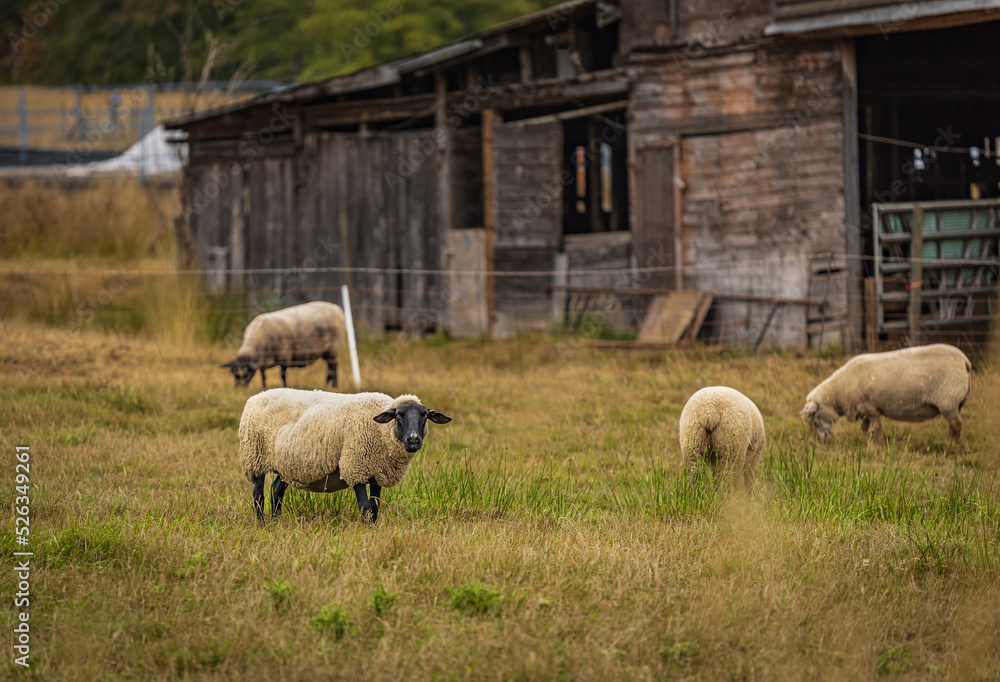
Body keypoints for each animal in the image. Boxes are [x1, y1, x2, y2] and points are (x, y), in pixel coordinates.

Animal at [239, 389, 451, 524]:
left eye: (425, 415)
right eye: (399, 415)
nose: (413, 440)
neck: (381, 431)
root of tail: (256, 396)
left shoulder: (376, 472)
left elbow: (374, 507)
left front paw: (373, 529)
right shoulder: (355, 467)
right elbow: (365, 507)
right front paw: (367, 531)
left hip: (287, 466)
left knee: (276, 491)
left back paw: (276, 522)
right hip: (255, 458)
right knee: (259, 495)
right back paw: (262, 524)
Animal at [799, 343, 971, 445]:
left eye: (814, 420)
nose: (813, 444)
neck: (839, 391)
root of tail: (964, 360)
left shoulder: (870, 407)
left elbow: (877, 427)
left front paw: (880, 445)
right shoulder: (863, 409)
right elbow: (864, 428)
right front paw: (867, 442)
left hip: (948, 399)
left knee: (956, 423)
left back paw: (951, 445)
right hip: (955, 403)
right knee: (954, 423)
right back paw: (952, 442)